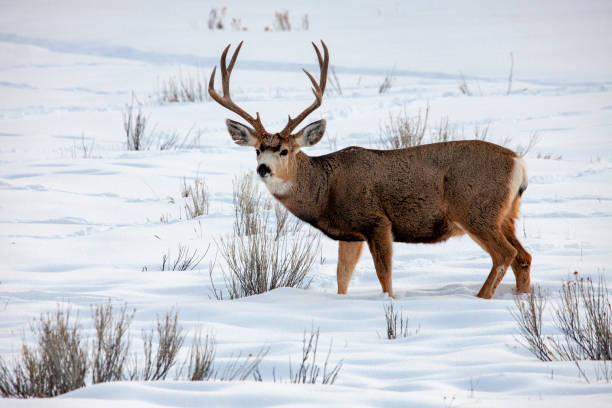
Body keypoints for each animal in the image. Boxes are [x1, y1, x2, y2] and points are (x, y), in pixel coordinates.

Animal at [209, 41, 532, 300]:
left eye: (285, 151)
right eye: (256, 150)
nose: (263, 169)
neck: (325, 189)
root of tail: (519, 164)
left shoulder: (376, 220)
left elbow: (384, 276)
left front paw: (389, 303)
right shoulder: (350, 234)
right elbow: (342, 279)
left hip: (476, 209)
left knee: (506, 254)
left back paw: (481, 298)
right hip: (505, 214)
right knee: (523, 257)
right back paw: (521, 299)